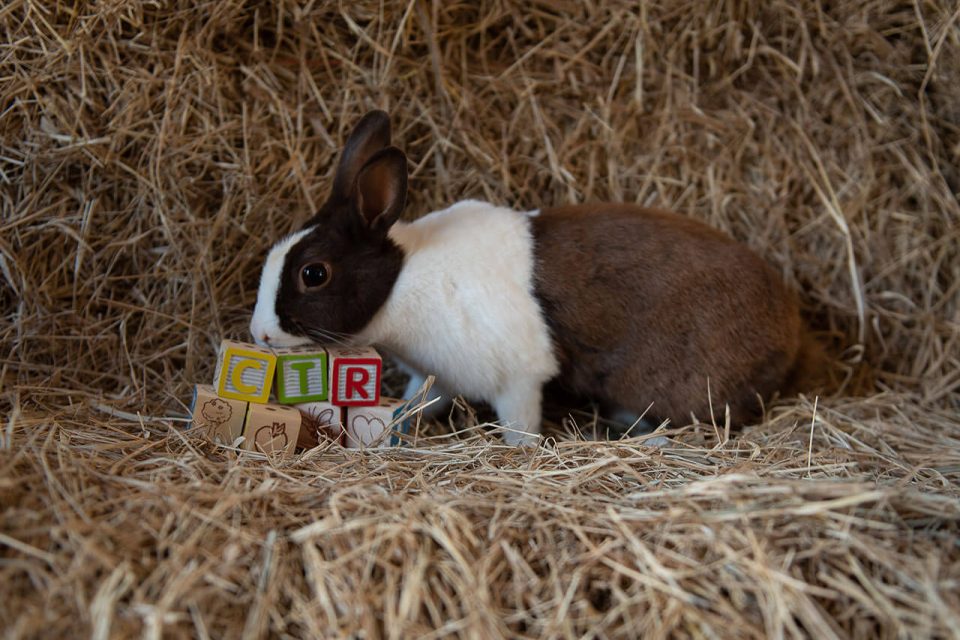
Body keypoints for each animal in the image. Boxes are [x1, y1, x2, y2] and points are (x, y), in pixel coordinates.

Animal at [251, 110, 820, 444]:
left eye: (314, 273)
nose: (259, 335)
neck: (401, 281)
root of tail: (793, 330)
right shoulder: (437, 378)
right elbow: (419, 403)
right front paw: (398, 421)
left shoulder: (518, 381)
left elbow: (519, 426)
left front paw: (519, 452)